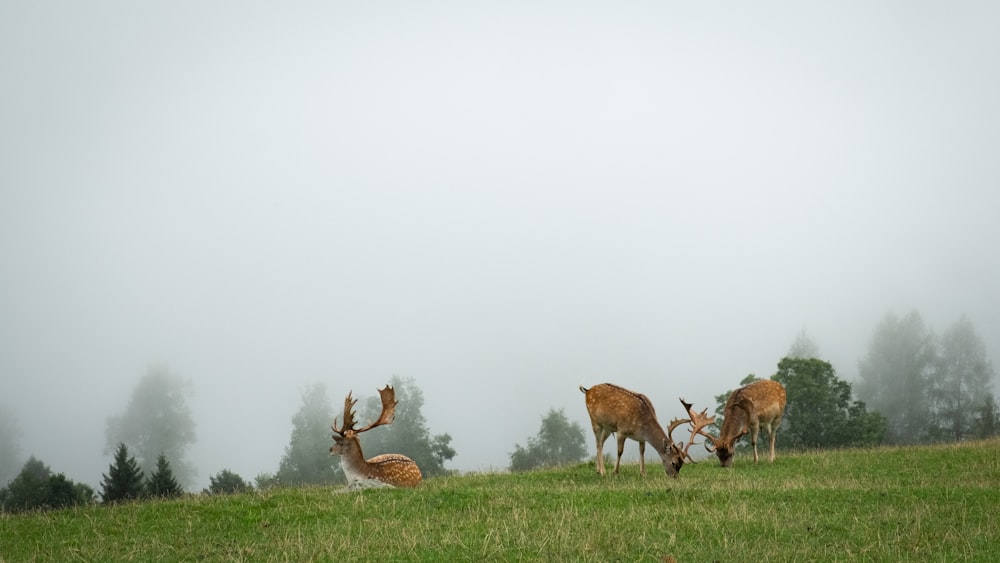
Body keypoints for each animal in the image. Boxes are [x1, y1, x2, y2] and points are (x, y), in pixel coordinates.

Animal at [584, 382, 716, 478]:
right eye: (673, 462)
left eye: (682, 464)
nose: (674, 476)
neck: (642, 425)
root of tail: (587, 390)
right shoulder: (621, 430)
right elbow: (620, 452)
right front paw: (615, 472)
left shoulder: (641, 438)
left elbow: (642, 451)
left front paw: (643, 473)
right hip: (595, 421)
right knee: (598, 443)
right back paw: (603, 472)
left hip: (607, 427)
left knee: (600, 443)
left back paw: (598, 470)